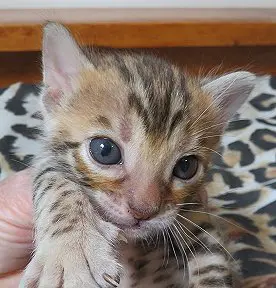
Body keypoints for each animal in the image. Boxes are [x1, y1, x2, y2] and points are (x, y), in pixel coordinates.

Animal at [20, 23, 256, 288]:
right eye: (105, 150)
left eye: (186, 166)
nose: (144, 212)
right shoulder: (46, 158)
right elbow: (55, 180)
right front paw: (71, 252)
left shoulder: (198, 217)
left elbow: (213, 264)